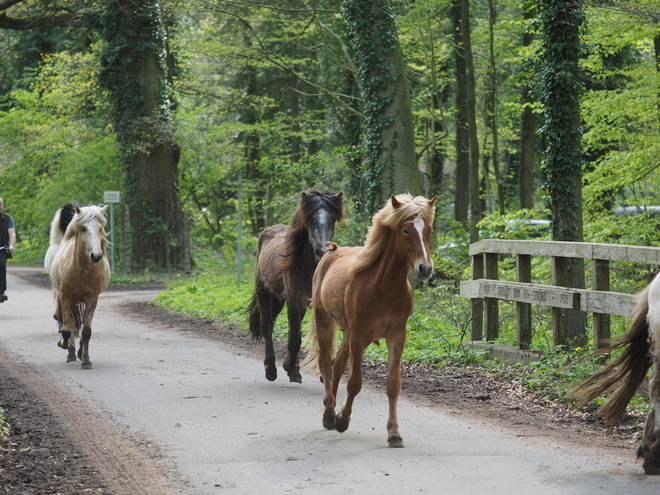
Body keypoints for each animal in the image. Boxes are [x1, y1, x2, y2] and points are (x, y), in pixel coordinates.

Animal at [245, 190, 342, 384]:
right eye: (311, 219)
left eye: (333, 219)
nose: (323, 251)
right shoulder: (294, 300)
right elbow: (294, 339)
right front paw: (290, 369)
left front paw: (324, 373)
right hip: (264, 292)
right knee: (268, 326)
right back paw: (271, 369)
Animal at [302, 195, 436, 450]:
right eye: (405, 230)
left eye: (429, 231)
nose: (425, 268)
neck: (383, 287)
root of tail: (330, 251)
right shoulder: (360, 337)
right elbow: (355, 383)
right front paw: (342, 420)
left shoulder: (397, 337)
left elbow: (393, 384)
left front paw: (394, 433)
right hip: (325, 322)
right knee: (325, 363)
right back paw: (329, 413)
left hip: (347, 332)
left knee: (337, 365)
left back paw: (332, 408)